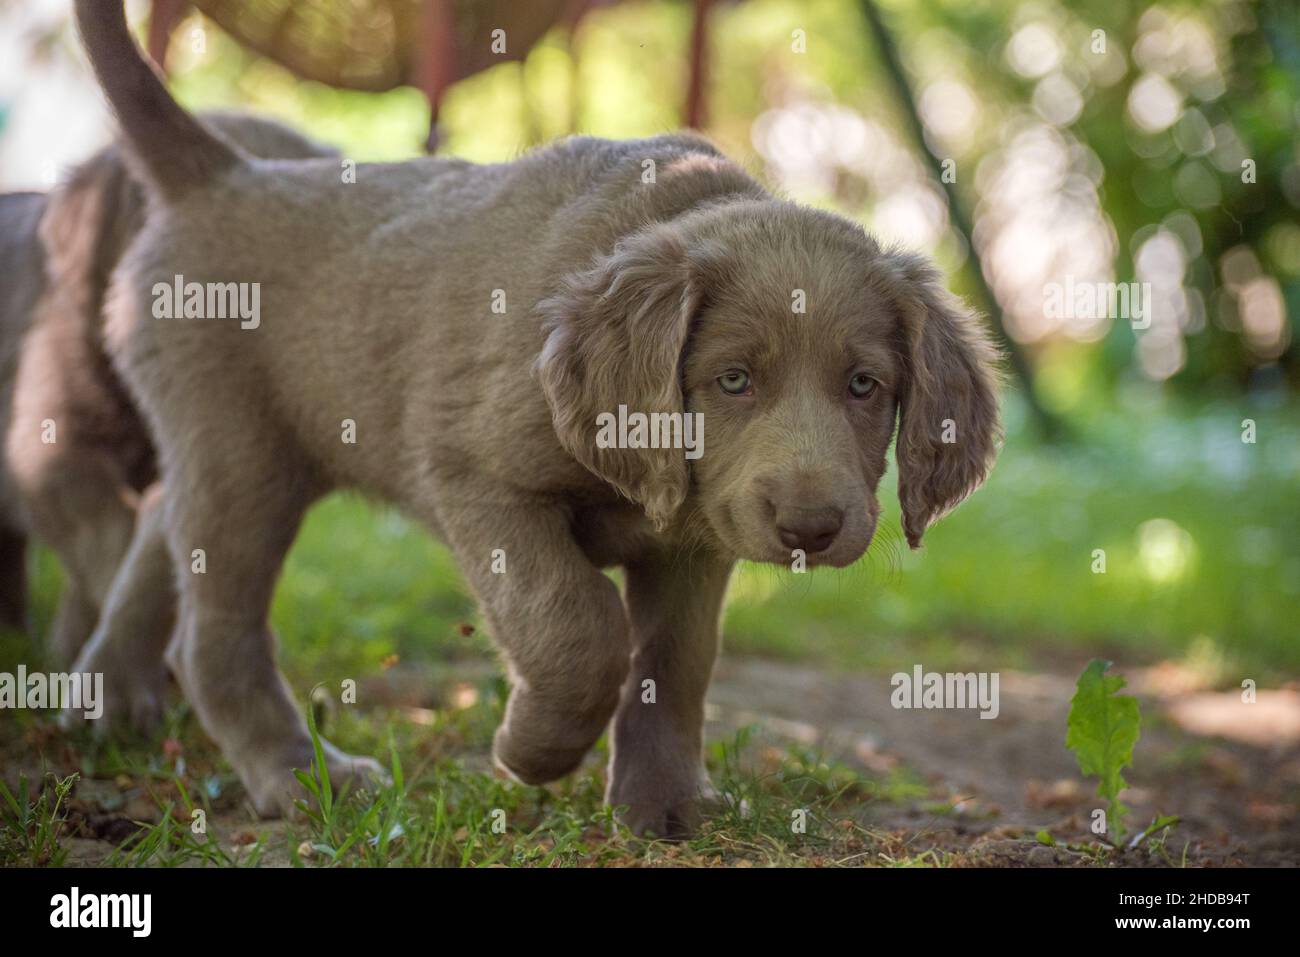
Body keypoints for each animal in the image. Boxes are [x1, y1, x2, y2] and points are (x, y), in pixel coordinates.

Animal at [76, 0, 998, 832]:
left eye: (865, 385)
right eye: (733, 379)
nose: (811, 526)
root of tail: (225, 172)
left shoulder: (696, 540)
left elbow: (676, 663)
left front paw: (665, 805)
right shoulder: (479, 480)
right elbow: (578, 626)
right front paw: (532, 750)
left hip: (230, 454)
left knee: (160, 533)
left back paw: (108, 702)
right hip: (241, 453)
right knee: (213, 629)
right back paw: (304, 776)